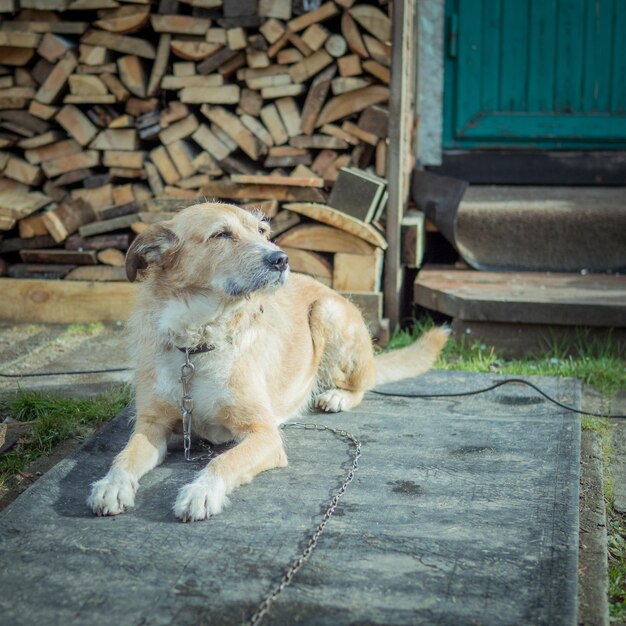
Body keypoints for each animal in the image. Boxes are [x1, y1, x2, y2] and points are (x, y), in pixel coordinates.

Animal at [88, 202, 448, 520]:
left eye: (262, 231)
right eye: (221, 234)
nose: (281, 259)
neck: (197, 342)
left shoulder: (264, 434)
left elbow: (222, 462)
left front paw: (201, 492)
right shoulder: (152, 425)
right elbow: (124, 456)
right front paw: (111, 485)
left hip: (327, 313)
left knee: (364, 382)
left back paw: (337, 396)